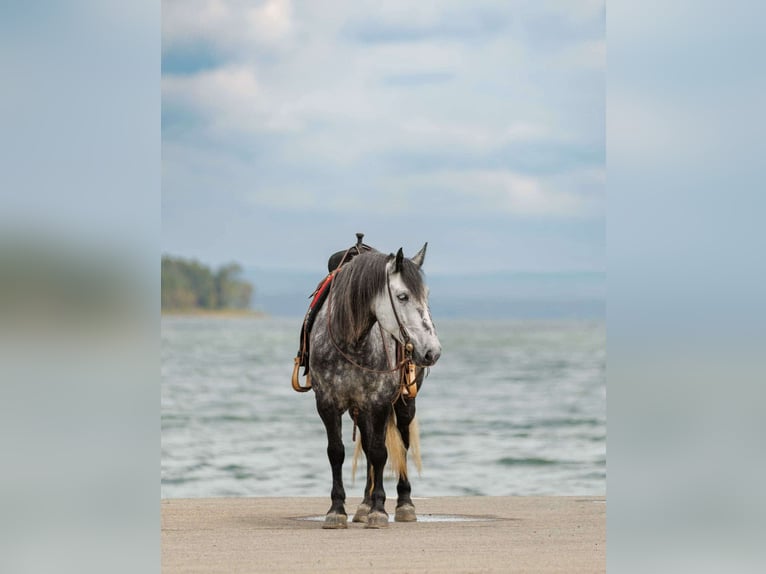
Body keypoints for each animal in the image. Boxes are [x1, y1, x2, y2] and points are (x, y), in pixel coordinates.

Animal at [308, 244, 441, 528]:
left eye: (426, 295)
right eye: (402, 296)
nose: (432, 351)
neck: (353, 342)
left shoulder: (379, 402)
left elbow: (381, 453)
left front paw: (379, 510)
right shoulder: (327, 403)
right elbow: (336, 452)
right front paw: (337, 509)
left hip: (404, 403)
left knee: (401, 445)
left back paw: (404, 504)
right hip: (360, 409)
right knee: (368, 445)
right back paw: (364, 504)